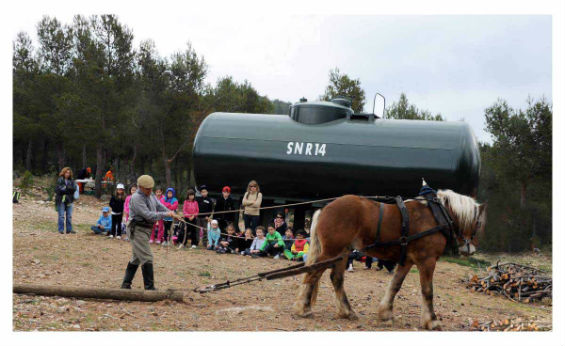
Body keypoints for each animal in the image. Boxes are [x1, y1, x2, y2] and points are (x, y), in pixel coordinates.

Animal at [290, 191, 484, 332]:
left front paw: (385, 313)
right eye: (478, 223)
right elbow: (427, 291)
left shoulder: (407, 261)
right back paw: (303, 308)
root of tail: (325, 208)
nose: (470, 249)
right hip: (332, 251)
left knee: (336, 279)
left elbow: (395, 285)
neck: (435, 215)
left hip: (342, 253)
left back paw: (347, 311)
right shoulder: (427, 260)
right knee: (313, 274)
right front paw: (432, 321)